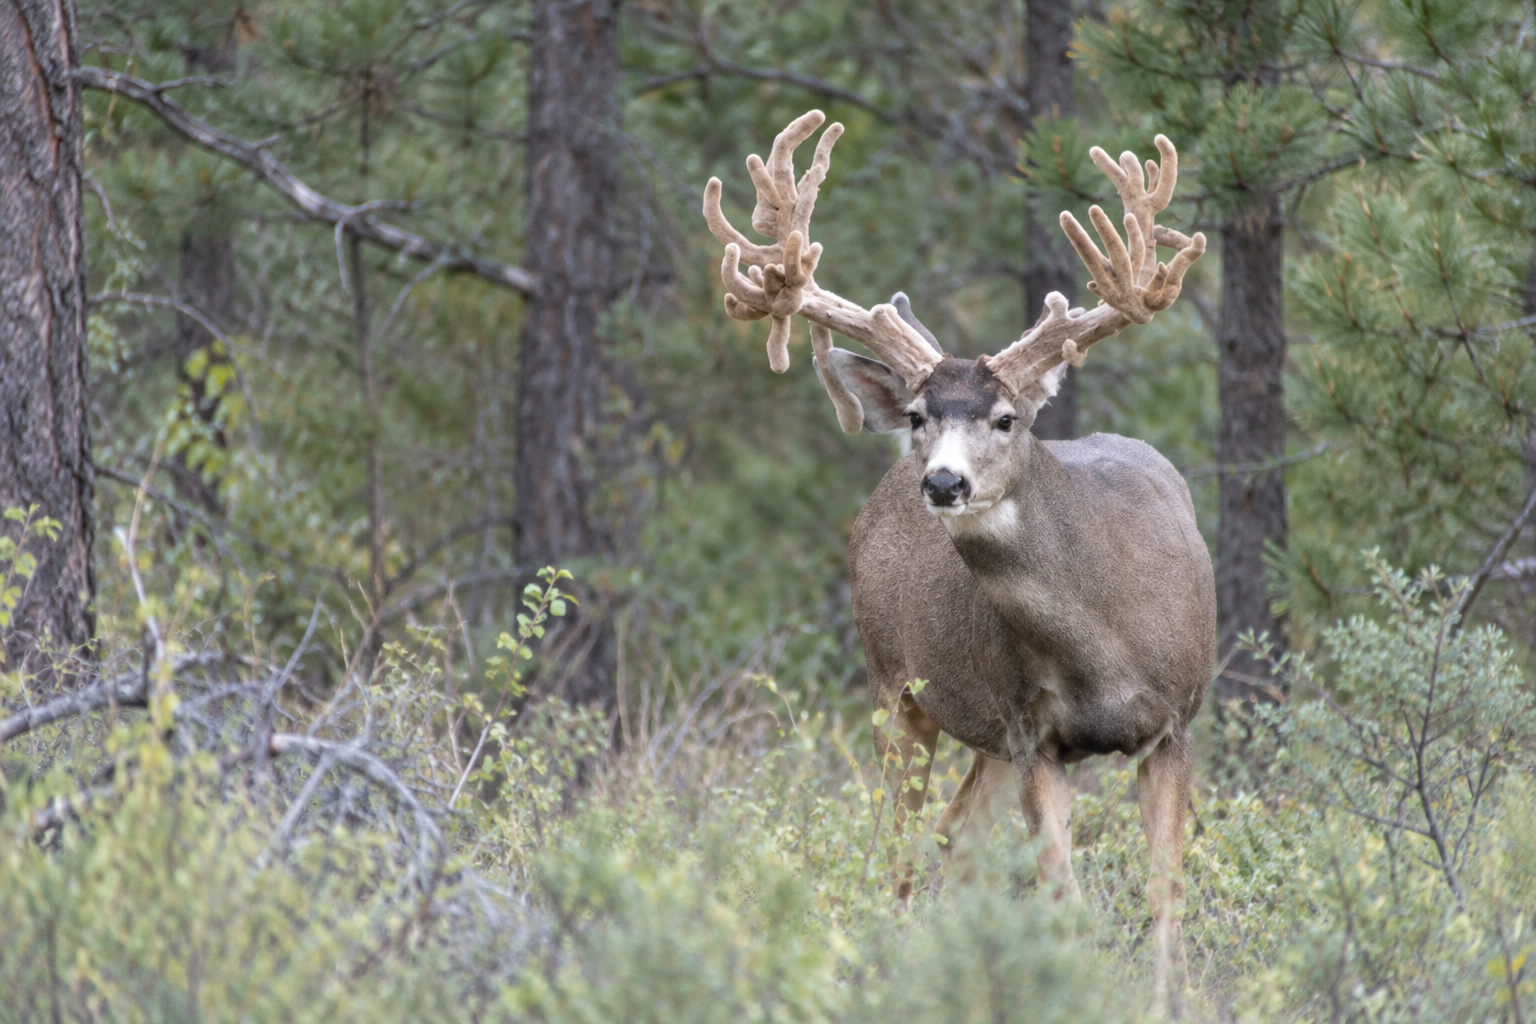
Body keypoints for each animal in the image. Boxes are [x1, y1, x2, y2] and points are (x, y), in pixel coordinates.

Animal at [703, 110, 1216, 1000]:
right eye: (918, 415)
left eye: (1006, 418)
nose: (942, 480)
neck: (1103, 639)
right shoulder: (1034, 733)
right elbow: (1064, 900)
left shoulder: (1172, 722)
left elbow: (1164, 899)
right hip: (895, 689)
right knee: (900, 848)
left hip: (981, 734)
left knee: (956, 839)